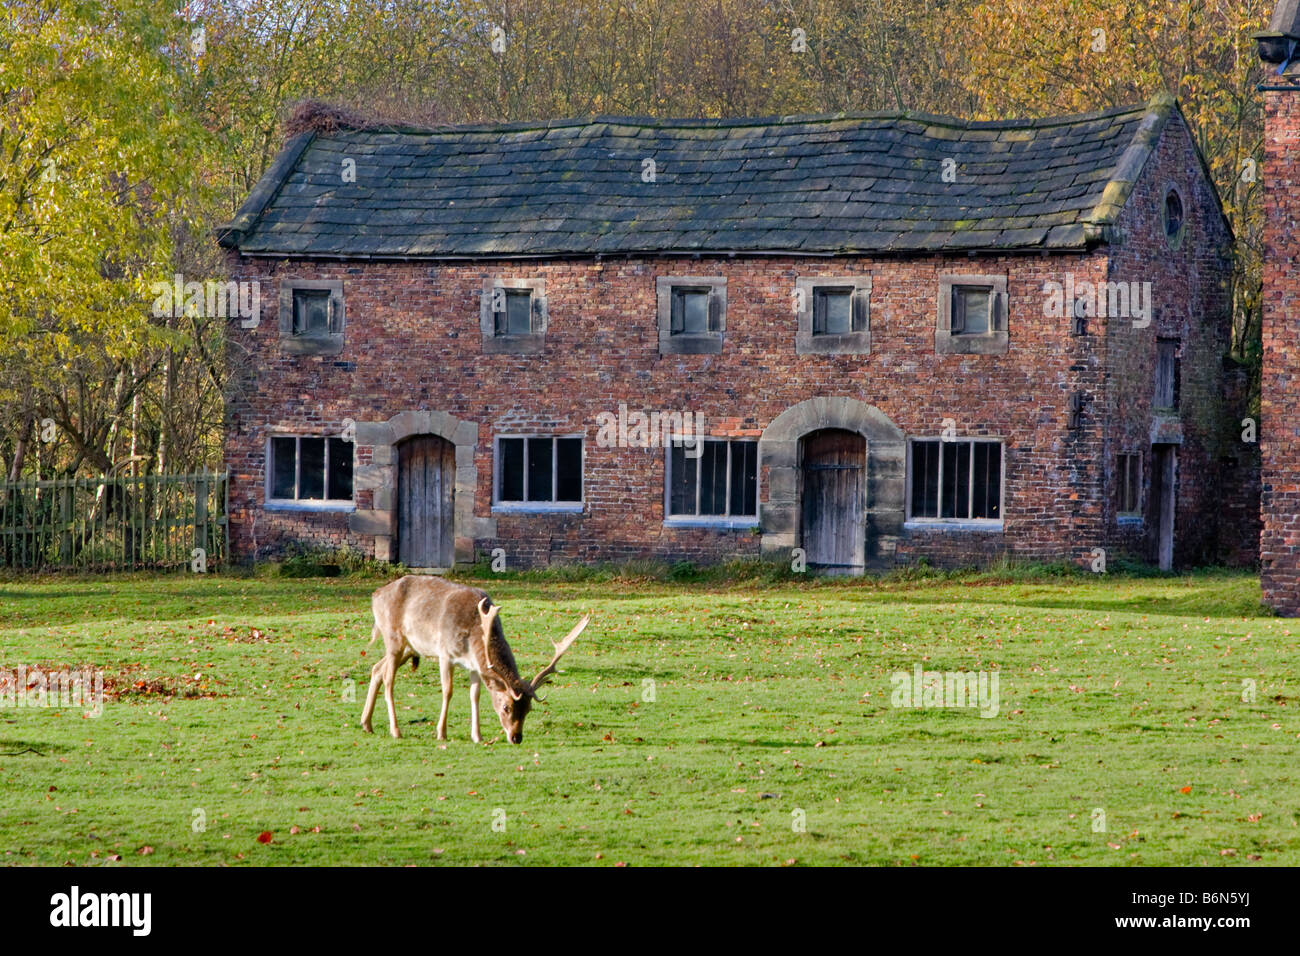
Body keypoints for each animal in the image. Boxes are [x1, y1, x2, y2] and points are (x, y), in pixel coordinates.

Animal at [364, 572, 592, 743]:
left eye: (528, 709)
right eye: (506, 707)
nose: (516, 738)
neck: (474, 635)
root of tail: (375, 595)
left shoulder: (474, 665)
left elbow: (475, 695)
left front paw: (477, 736)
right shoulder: (445, 653)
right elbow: (448, 691)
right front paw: (441, 733)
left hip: (410, 648)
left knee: (377, 669)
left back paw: (366, 724)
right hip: (393, 638)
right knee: (389, 679)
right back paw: (395, 730)